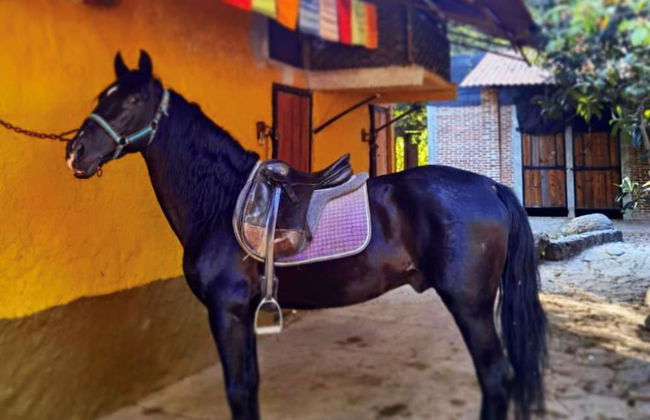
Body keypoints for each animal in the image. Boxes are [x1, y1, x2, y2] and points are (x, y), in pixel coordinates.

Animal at [65, 51, 546, 420]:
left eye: (133, 98)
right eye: (102, 96)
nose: (76, 152)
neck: (221, 202)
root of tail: (490, 186)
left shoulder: (227, 310)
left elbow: (237, 389)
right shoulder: (243, 313)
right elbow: (249, 385)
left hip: (469, 303)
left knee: (495, 376)